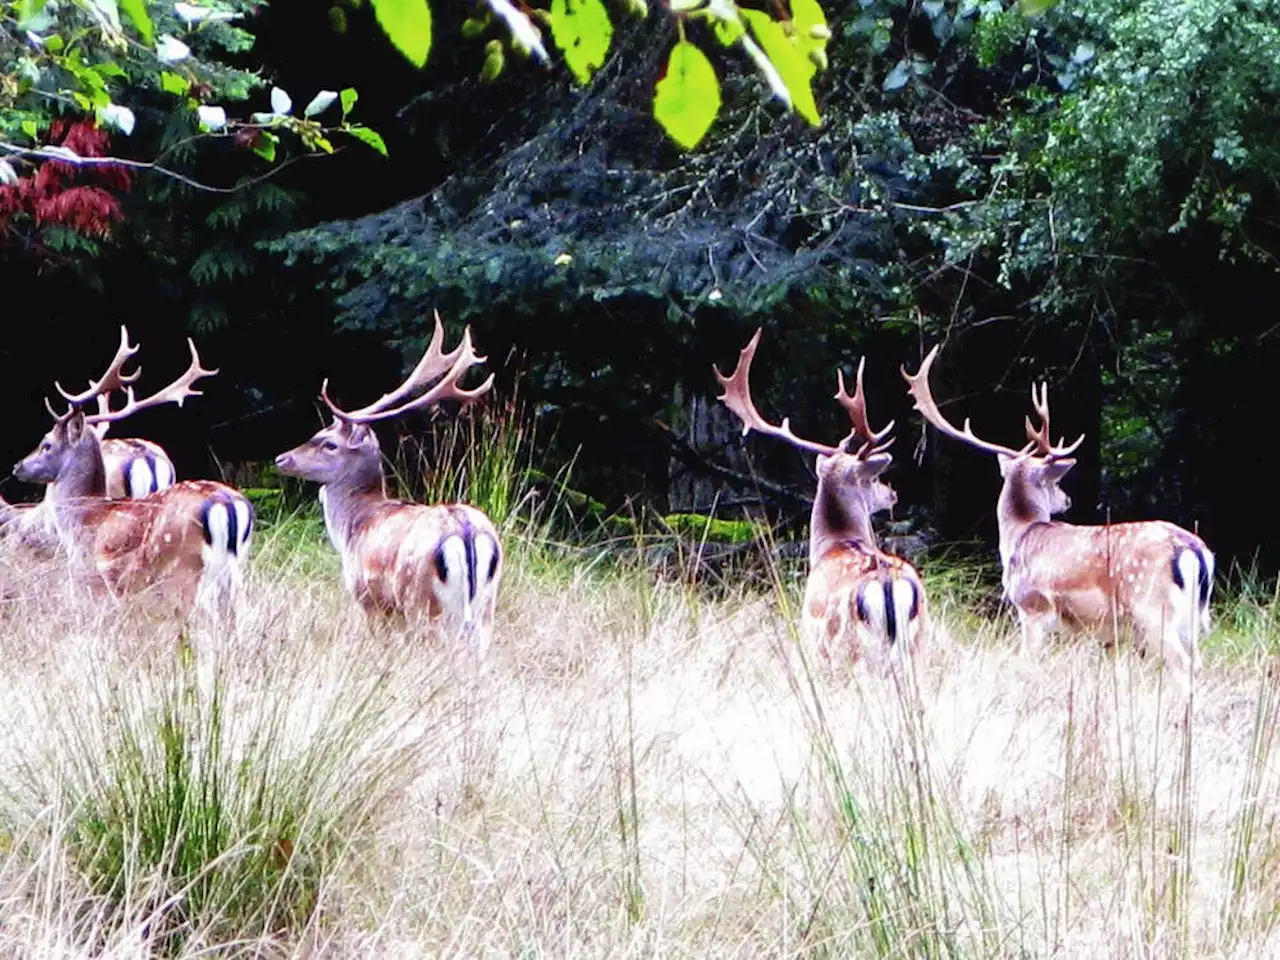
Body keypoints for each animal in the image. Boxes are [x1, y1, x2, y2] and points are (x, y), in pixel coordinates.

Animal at [11, 327, 253, 619]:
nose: (18, 466)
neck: (83, 521)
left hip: (185, 568)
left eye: (46, 444)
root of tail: (229, 505)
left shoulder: (97, 578)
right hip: (236, 569)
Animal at [275, 316, 504, 660]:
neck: (353, 526)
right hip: (486, 606)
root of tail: (465, 532)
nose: (282, 458)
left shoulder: (369, 599)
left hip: (422, 603)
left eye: (328, 443)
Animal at [711, 327, 931, 670]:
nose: (892, 493)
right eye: (874, 479)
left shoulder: (813, 644)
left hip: (843, 648)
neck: (832, 545)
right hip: (919, 644)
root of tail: (887, 586)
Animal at [896, 345, 1213, 686]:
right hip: (1193, 616)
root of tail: (1193, 550)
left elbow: (1028, 662)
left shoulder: (1032, 608)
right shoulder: (1097, 632)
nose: (1067, 499)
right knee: (1197, 662)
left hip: (1150, 604)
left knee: (1182, 664)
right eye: (1056, 483)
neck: (1018, 537)